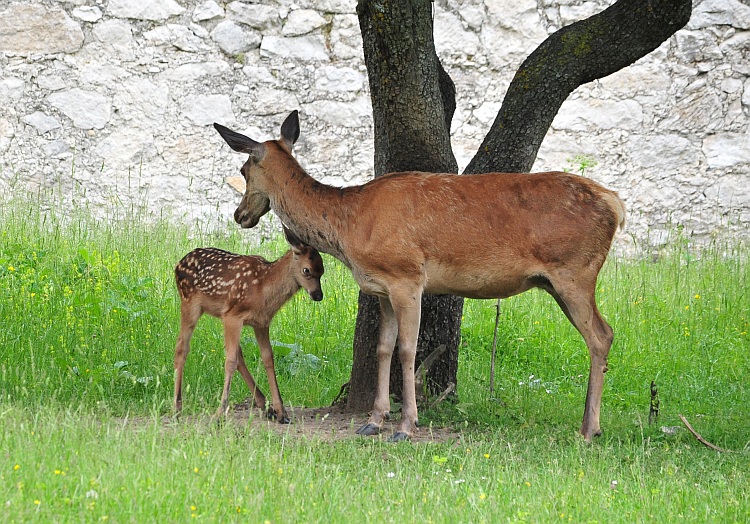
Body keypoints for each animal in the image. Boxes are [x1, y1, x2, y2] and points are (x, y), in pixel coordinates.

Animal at [173, 227, 326, 424]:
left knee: (237, 354)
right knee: (181, 347)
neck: (263, 289)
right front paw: (219, 413)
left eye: (322, 270)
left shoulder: (261, 322)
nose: (318, 295)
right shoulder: (233, 316)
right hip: (189, 303)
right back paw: (177, 407)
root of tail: (178, 264)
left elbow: (267, 358)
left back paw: (265, 406)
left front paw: (282, 412)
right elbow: (230, 361)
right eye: (307, 270)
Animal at [214, 111, 624, 442]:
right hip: (556, 281)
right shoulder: (381, 288)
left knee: (601, 335)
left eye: (244, 171)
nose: (240, 214)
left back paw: (589, 429)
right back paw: (591, 425)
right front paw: (374, 421)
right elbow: (382, 348)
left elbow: (408, 349)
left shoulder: (407, 276)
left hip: (575, 271)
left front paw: (406, 426)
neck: (350, 227)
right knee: (603, 333)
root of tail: (615, 204)